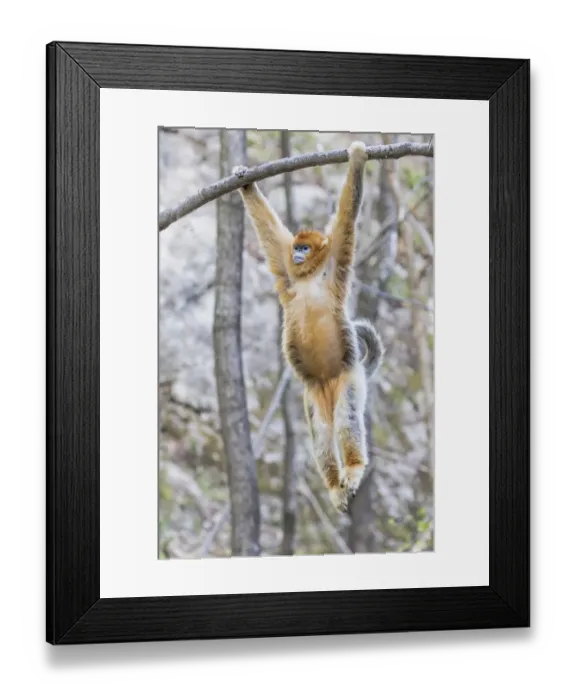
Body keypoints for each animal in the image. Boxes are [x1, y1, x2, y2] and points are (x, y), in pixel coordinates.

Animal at [233, 141, 383, 513]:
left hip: (350, 378)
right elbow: (270, 234)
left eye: (305, 247)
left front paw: (357, 158)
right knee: (322, 434)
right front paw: (246, 182)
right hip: (313, 393)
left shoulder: (337, 255)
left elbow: (347, 215)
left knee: (346, 418)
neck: (309, 274)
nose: (299, 254)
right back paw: (334, 486)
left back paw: (354, 469)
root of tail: (328, 381)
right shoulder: (287, 270)